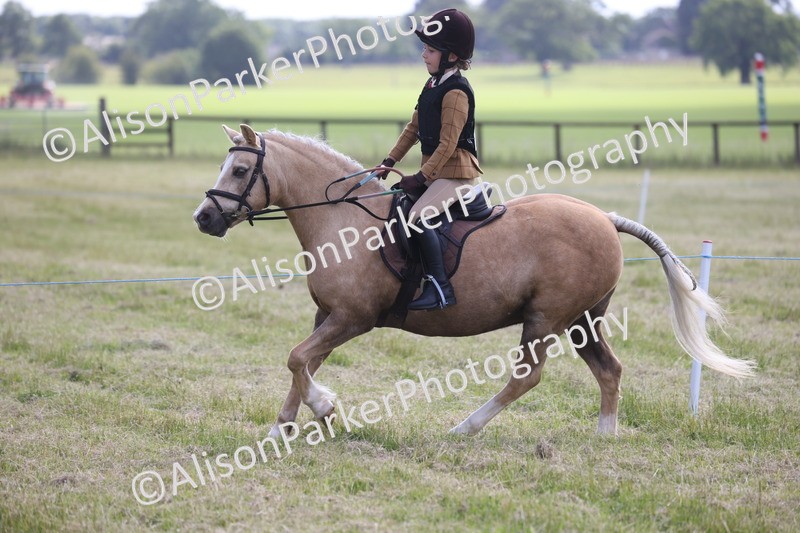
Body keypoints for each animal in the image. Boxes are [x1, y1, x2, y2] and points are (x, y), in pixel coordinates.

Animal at [193, 124, 755, 440]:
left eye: (240, 171)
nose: (204, 218)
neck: (342, 220)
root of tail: (605, 219)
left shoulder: (354, 318)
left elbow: (297, 359)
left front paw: (324, 409)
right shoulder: (327, 315)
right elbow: (302, 361)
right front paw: (284, 426)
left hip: (545, 319)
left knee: (528, 377)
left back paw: (464, 427)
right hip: (583, 321)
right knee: (609, 370)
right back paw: (605, 436)